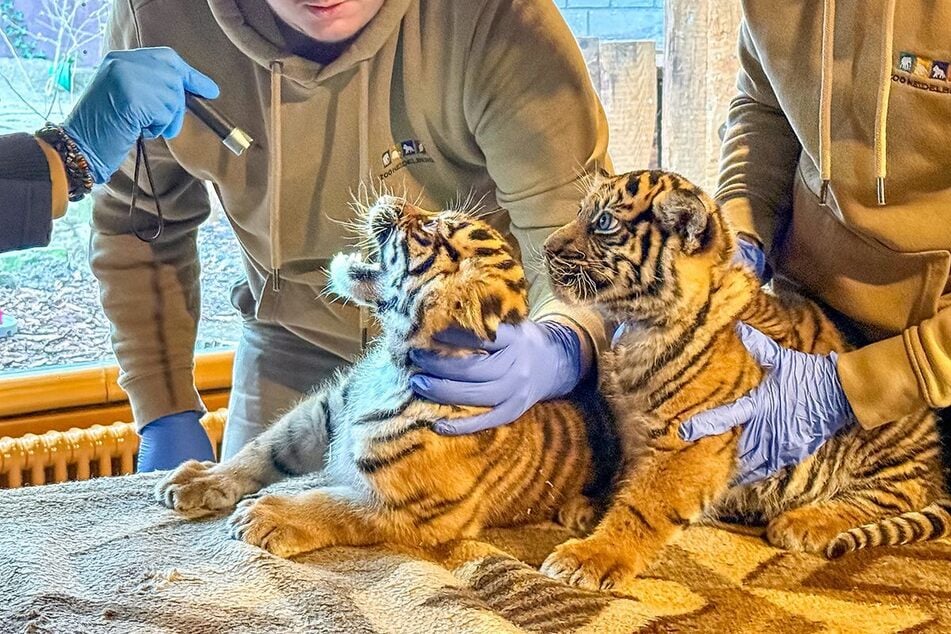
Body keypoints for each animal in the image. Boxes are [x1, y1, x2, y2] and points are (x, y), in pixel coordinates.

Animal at [154, 194, 618, 558]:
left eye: (430, 228)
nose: (392, 199)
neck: (394, 361)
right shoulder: (324, 414)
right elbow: (263, 449)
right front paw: (200, 478)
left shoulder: (412, 510)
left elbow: (334, 506)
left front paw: (269, 514)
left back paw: (580, 513)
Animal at [538, 168, 951, 591]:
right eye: (580, 211)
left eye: (604, 222)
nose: (547, 246)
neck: (642, 325)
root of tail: (936, 465)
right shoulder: (635, 433)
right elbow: (624, 477)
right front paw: (591, 507)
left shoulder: (690, 444)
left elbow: (644, 507)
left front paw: (590, 556)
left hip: (884, 436)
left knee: (891, 496)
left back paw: (803, 523)